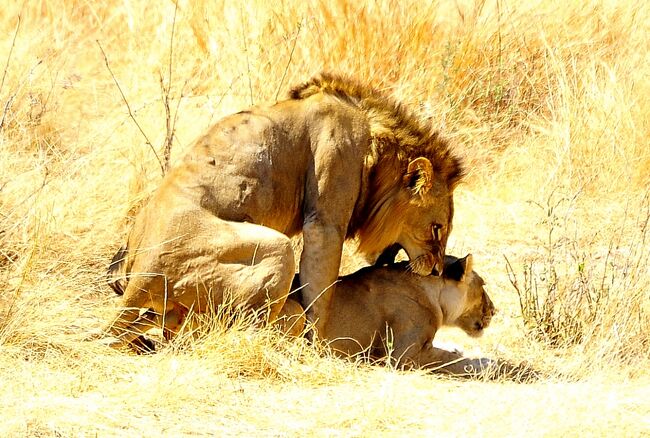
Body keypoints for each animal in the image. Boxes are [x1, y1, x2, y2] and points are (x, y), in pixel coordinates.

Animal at [104, 72, 460, 348]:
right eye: (437, 228)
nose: (437, 270)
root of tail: (139, 279)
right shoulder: (325, 219)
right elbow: (321, 291)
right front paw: (318, 346)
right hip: (277, 247)